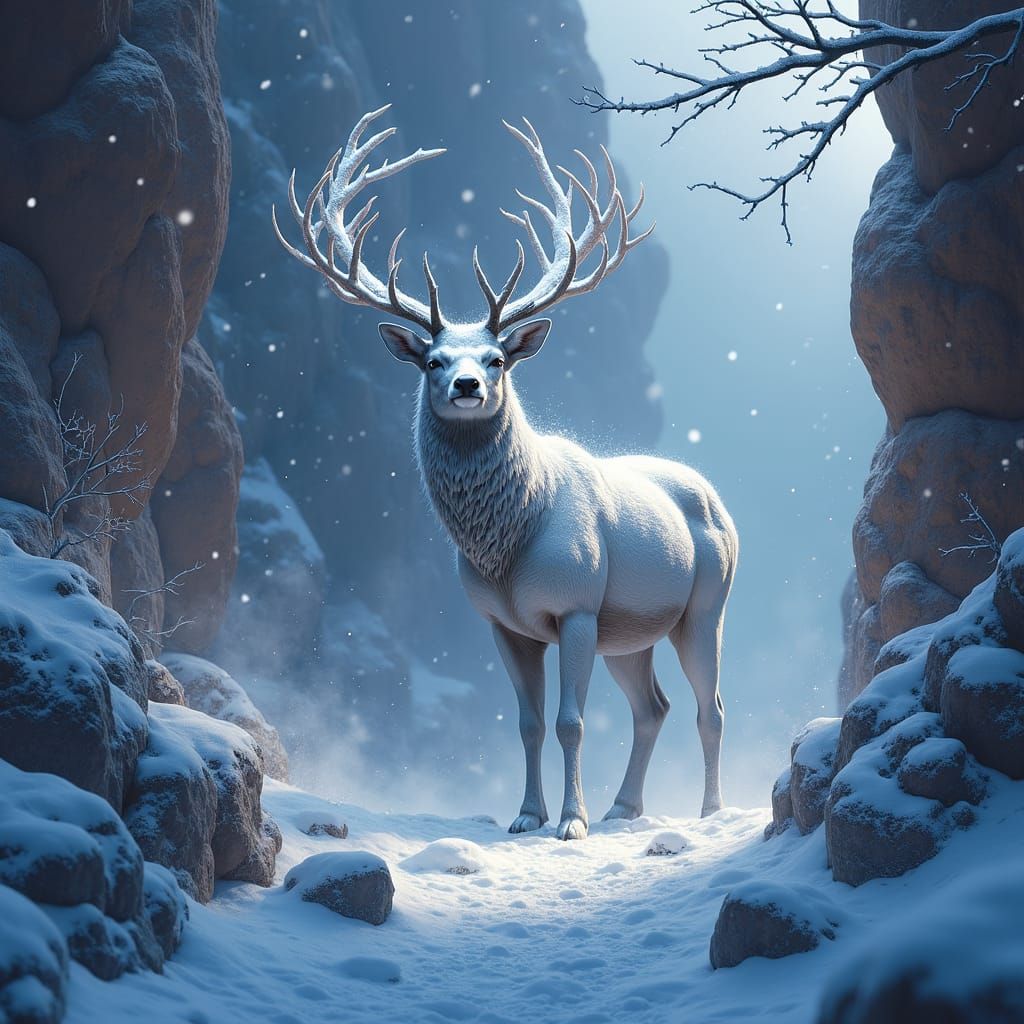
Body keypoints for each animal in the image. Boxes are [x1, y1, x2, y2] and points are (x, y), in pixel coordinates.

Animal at [274, 106, 738, 840]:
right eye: (432, 360)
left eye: (496, 358)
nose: (466, 384)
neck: (508, 546)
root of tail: (717, 498)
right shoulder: (504, 624)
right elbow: (527, 723)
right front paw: (526, 815)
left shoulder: (576, 605)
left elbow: (571, 721)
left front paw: (570, 823)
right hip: (631, 631)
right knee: (653, 706)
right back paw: (624, 807)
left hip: (706, 604)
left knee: (709, 706)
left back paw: (709, 809)